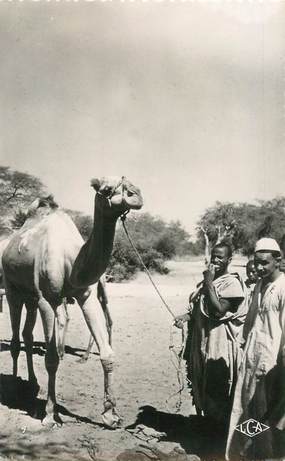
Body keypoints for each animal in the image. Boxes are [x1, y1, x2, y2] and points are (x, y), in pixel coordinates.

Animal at [2, 176, 142, 428]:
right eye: (106, 189)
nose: (136, 195)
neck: (71, 261)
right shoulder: (47, 301)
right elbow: (50, 359)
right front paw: (50, 414)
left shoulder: (85, 296)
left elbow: (107, 354)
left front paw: (110, 414)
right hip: (12, 290)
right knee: (16, 339)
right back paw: (16, 387)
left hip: (30, 297)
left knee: (27, 335)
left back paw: (31, 382)